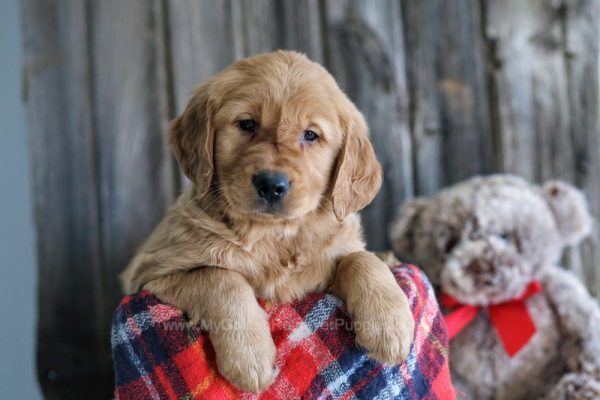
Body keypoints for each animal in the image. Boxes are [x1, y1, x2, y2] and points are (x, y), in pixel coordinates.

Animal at [120, 50, 412, 394]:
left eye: (310, 134)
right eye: (246, 124)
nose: (272, 185)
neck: (272, 235)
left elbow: (360, 259)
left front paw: (389, 326)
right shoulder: (148, 274)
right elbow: (220, 277)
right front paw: (249, 357)